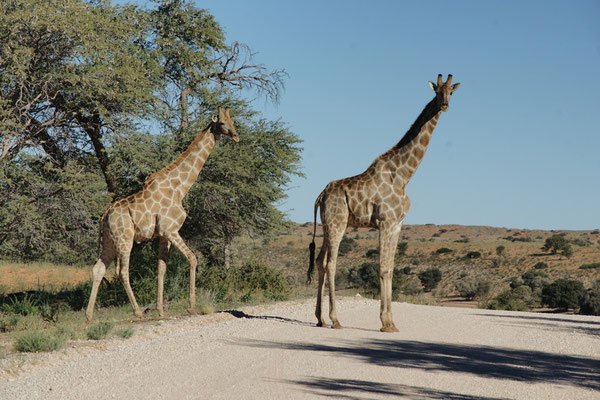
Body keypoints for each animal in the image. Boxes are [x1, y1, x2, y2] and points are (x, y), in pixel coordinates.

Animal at [85, 106, 239, 322]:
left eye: (233, 121)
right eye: (223, 123)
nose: (236, 136)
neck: (180, 187)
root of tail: (104, 215)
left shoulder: (163, 235)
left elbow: (161, 268)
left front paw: (161, 310)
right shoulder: (170, 229)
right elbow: (193, 259)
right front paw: (192, 307)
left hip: (109, 240)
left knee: (99, 268)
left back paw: (89, 315)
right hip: (125, 238)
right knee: (122, 271)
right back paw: (138, 311)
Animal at [308, 74, 462, 332]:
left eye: (451, 91)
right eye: (437, 91)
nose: (444, 105)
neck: (403, 175)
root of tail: (321, 195)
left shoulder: (397, 224)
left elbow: (390, 269)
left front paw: (391, 322)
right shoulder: (385, 221)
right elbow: (382, 268)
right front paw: (385, 323)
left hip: (329, 225)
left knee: (320, 261)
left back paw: (320, 319)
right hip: (337, 223)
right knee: (331, 264)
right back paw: (335, 320)